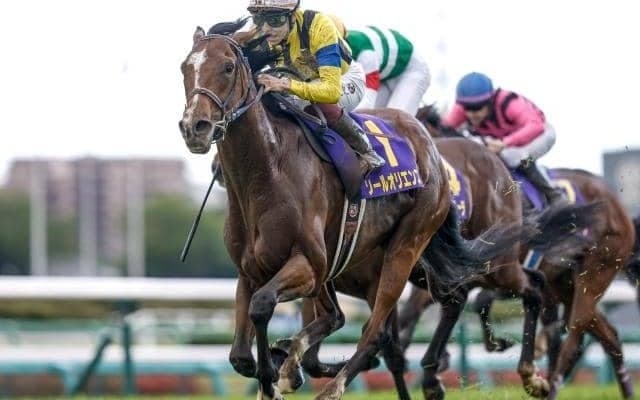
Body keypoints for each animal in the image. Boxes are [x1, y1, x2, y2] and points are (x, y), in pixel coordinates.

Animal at [178, 22, 536, 400]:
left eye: (228, 66)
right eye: (185, 68)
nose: (195, 127)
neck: (266, 173)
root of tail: (431, 149)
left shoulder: (310, 265)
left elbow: (264, 307)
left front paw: (278, 375)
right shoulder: (252, 273)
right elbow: (241, 355)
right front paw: (277, 371)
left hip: (415, 249)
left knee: (379, 332)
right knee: (445, 301)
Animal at [402, 104, 638, 400]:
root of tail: (618, 207)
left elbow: (478, 300)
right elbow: (420, 309)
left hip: (595, 273)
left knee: (575, 337)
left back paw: (548, 383)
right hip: (566, 285)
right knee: (608, 336)